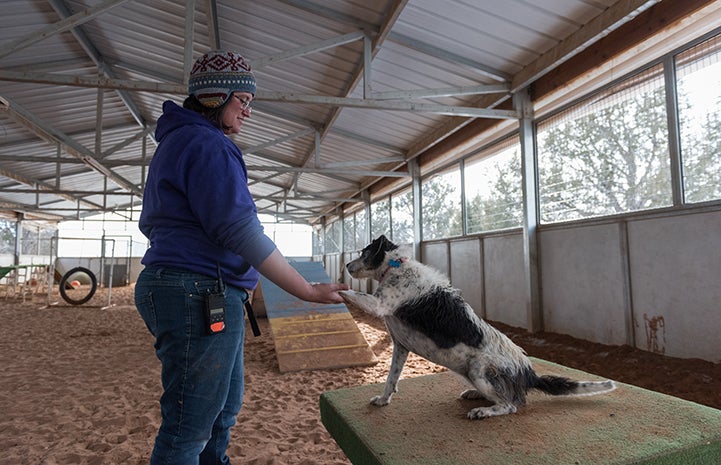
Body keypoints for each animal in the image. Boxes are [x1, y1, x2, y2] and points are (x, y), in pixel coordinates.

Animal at [338, 234, 612, 418]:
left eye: (364, 251)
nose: (346, 265)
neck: (396, 267)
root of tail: (529, 374)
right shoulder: (400, 346)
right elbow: (391, 380)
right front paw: (383, 400)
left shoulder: (377, 305)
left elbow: (348, 292)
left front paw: (335, 288)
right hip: (471, 373)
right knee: (504, 396)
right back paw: (475, 395)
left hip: (478, 369)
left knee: (510, 405)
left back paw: (483, 411)